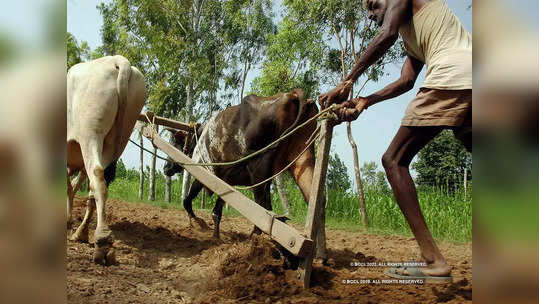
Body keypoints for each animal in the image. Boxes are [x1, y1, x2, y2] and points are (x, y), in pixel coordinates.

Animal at [66, 55, 147, 264]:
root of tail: (118, 60)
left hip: (90, 136)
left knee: (97, 179)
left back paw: (101, 242)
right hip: (117, 139)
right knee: (95, 187)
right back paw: (83, 233)